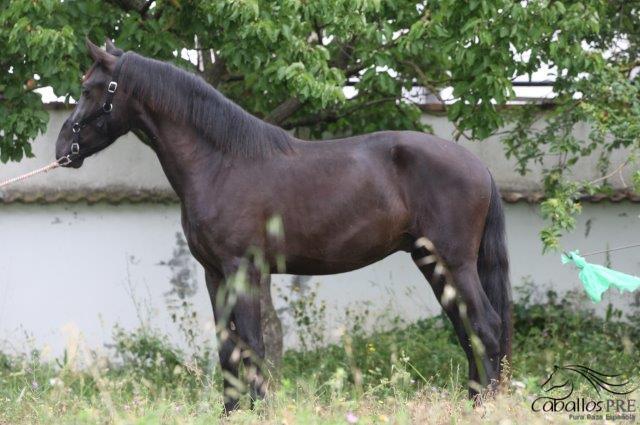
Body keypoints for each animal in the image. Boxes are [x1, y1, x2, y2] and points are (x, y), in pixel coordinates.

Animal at [56, 39, 516, 408]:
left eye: (88, 89)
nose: (63, 149)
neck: (220, 163)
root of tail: (479, 167)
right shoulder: (213, 274)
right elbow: (228, 350)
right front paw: (232, 411)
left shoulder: (243, 270)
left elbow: (253, 346)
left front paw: (259, 410)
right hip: (432, 263)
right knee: (468, 332)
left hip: (454, 263)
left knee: (487, 327)